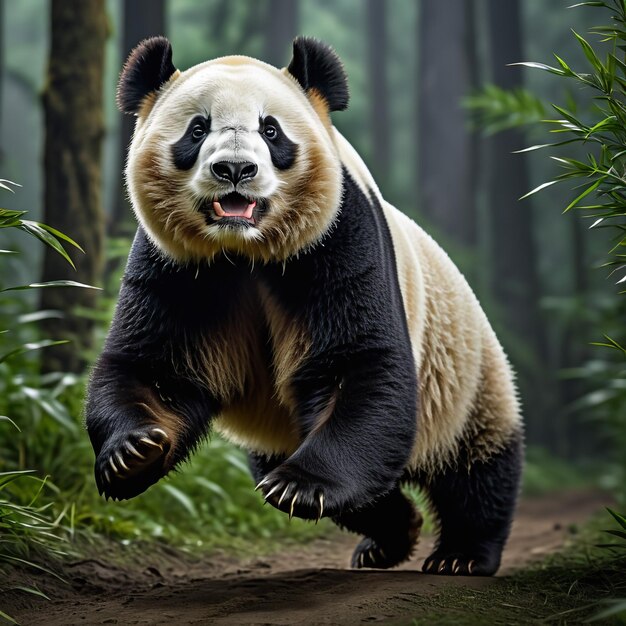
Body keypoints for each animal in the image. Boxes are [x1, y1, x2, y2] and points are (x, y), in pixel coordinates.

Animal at [85, 36, 520, 576]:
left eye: (270, 130)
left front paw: (302, 487)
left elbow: (357, 363)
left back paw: (460, 554)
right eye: (197, 129)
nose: (235, 169)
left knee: (477, 467)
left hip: (465, 374)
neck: (243, 251)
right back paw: (390, 536)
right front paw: (133, 453)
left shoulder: (339, 238)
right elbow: (159, 367)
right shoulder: (179, 268)